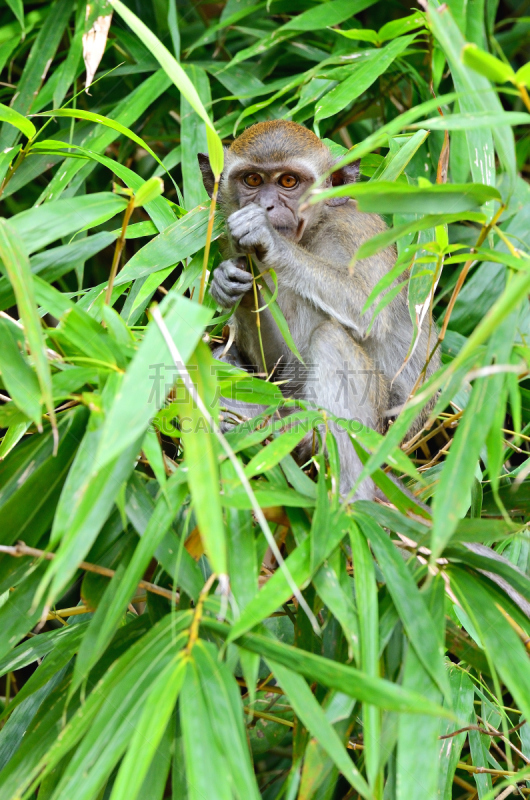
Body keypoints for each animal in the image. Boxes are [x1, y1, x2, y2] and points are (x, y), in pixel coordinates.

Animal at [198, 120, 438, 500]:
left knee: (330, 339)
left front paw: (268, 240)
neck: (314, 230)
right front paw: (229, 282)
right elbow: (280, 364)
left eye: (288, 182)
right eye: (252, 180)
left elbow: (367, 312)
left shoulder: (354, 232)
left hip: (380, 435)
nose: (266, 207)